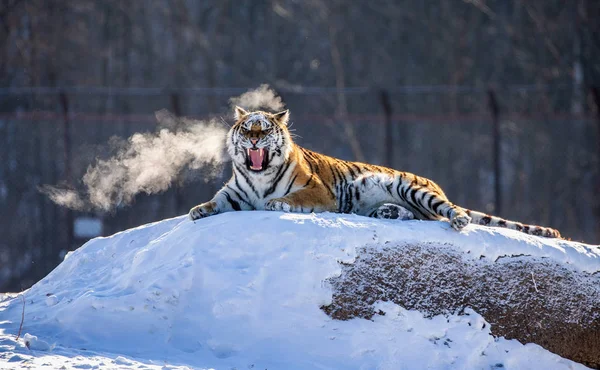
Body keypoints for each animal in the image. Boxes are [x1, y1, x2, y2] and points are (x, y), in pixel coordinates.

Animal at [189, 106, 564, 240]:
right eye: (247, 128)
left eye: (264, 129)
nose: (254, 138)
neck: (259, 175)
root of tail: (435, 185)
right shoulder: (235, 193)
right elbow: (216, 202)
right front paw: (197, 210)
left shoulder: (318, 191)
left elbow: (291, 198)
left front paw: (276, 204)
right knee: (420, 217)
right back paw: (388, 213)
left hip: (416, 189)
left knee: (448, 212)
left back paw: (457, 220)